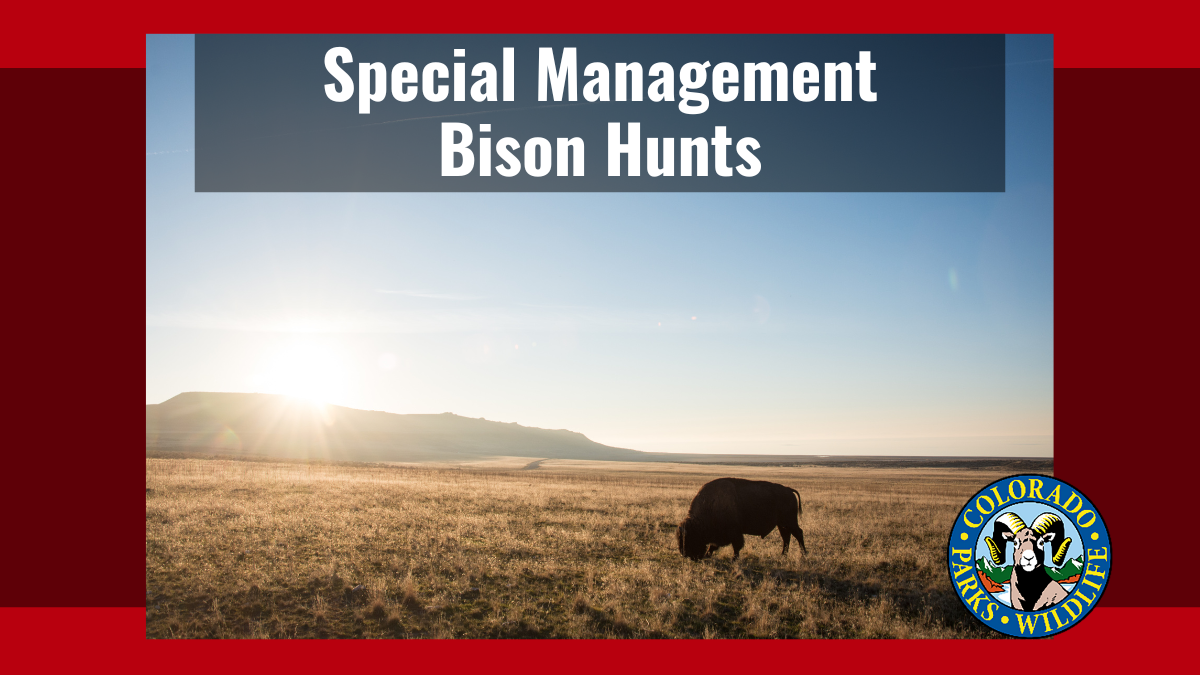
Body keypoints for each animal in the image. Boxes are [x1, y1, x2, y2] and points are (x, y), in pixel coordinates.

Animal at [676, 478, 806, 561]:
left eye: (689, 538)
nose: (685, 554)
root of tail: (789, 490)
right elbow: (714, 545)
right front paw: (709, 554)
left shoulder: (735, 533)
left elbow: (736, 546)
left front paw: (734, 559)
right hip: (782, 524)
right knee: (786, 537)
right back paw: (783, 555)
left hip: (790, 522)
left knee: (798, 534)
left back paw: (803, 554)